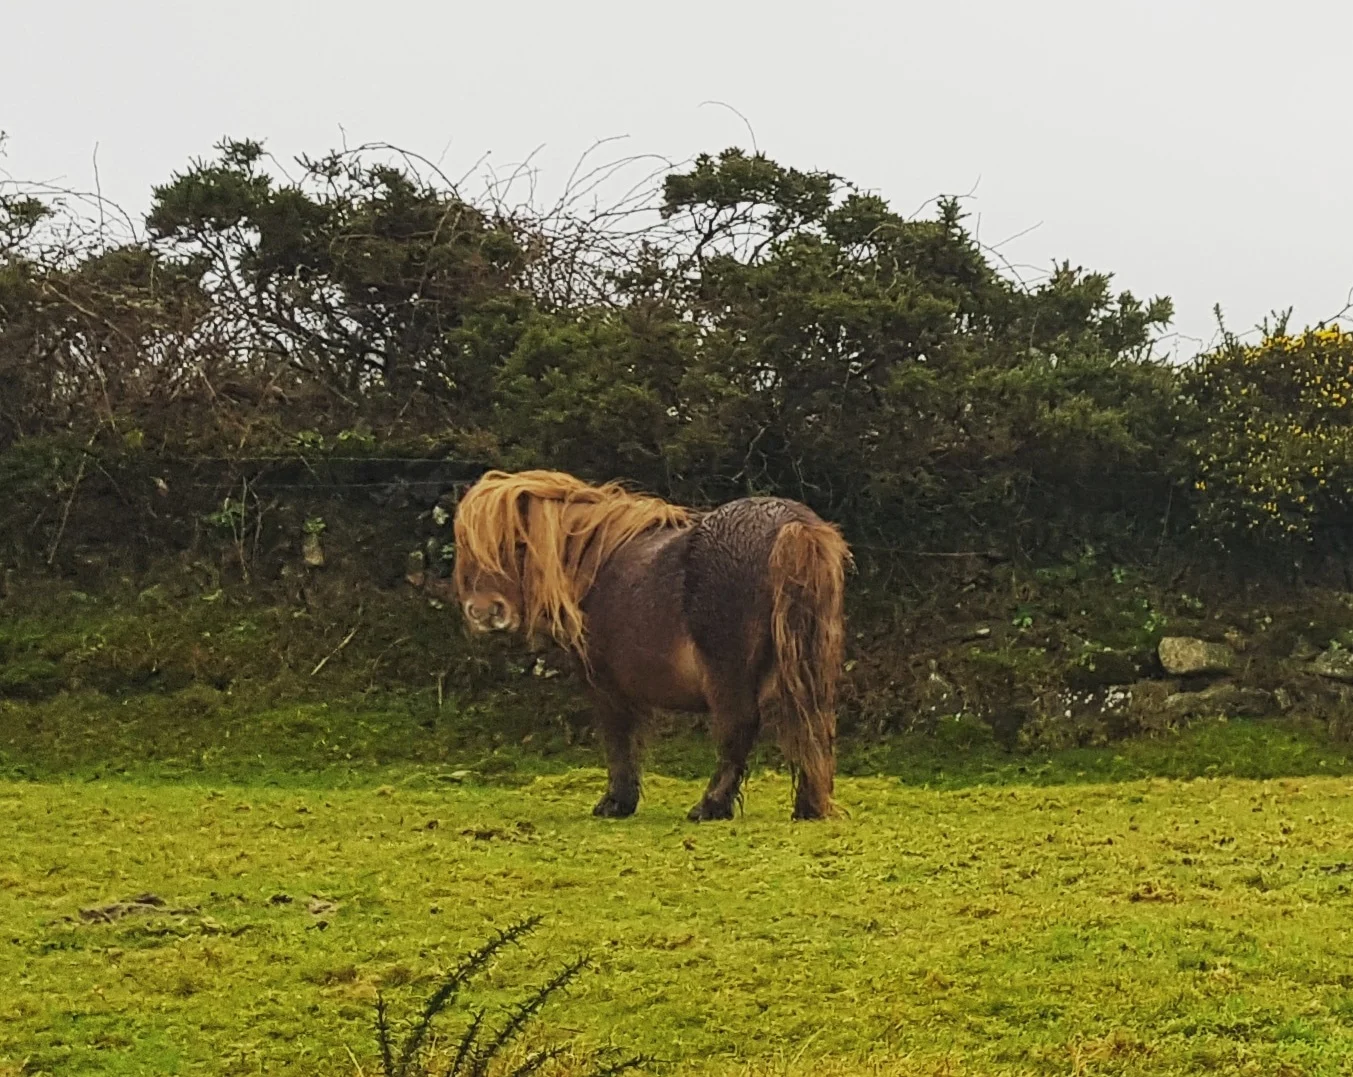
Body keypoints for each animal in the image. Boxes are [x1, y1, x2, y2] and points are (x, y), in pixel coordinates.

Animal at [447, 469, 851, 822]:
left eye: (519, 543)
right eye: (467, 547)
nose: (485, 613)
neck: (594, 563)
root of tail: (793, 527)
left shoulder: (605, 684)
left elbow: (619, 740)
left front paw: (616, 802)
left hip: (729, 673)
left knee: (740, 727)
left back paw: (710, 807)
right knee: (812, 721)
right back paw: (808, 807)